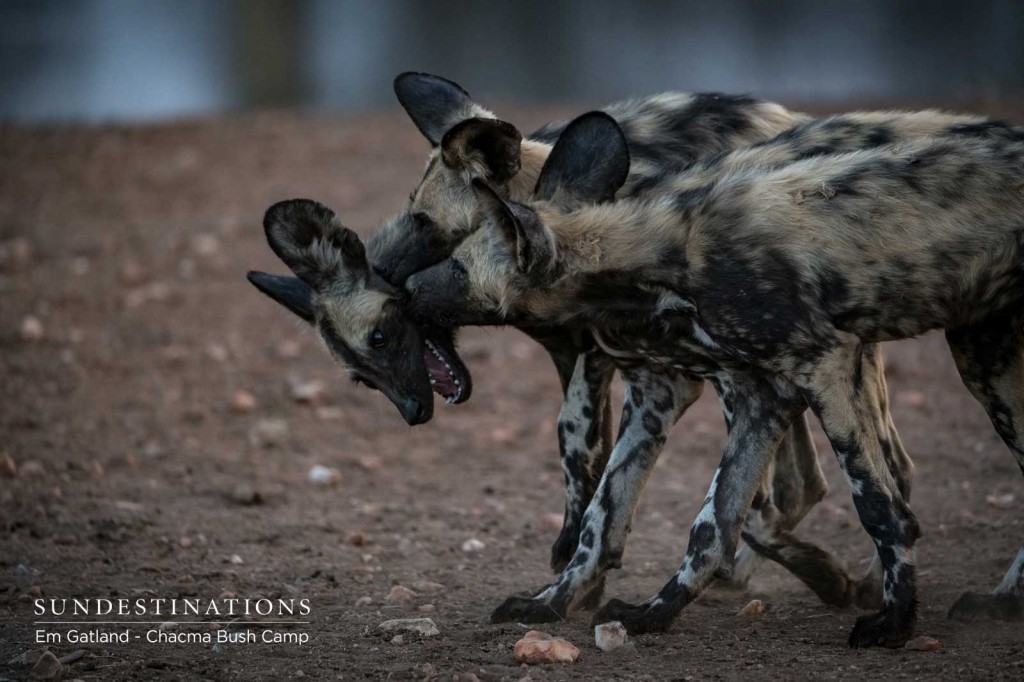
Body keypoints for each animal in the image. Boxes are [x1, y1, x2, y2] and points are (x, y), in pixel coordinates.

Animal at [405, 110, 1024, 643]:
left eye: (455, 265)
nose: (401, 287)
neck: (659, 261)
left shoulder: (820, 367)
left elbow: (879, 508)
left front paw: (894, 625)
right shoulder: (741, 396)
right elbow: (664, 520)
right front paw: (614, 609)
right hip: (985, 360)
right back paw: (999, 602)